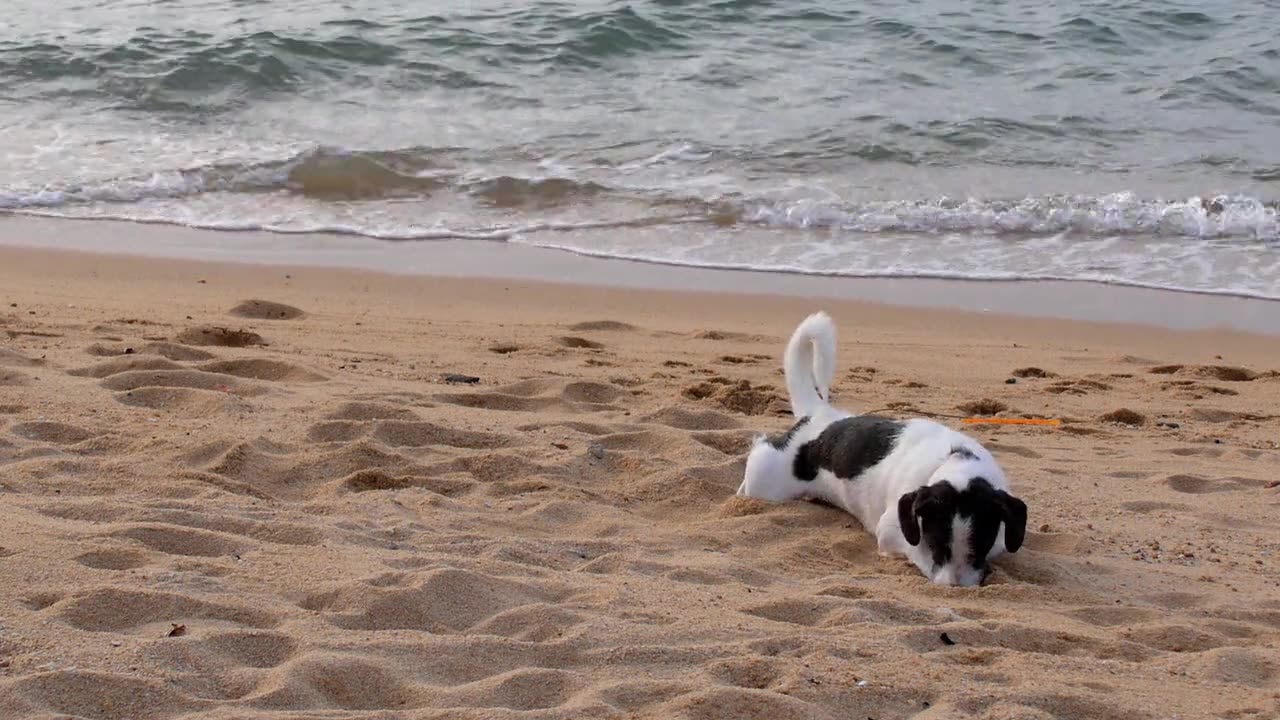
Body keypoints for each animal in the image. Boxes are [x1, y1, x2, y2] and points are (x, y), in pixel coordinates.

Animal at [737, 308, 1024, 584]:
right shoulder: (890, 531)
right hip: (766, 480)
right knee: (758, 453)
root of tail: (818, 414)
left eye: (979, 548)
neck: (955, 459)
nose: (954, 588)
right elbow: (914, 550)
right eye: (936, 545)